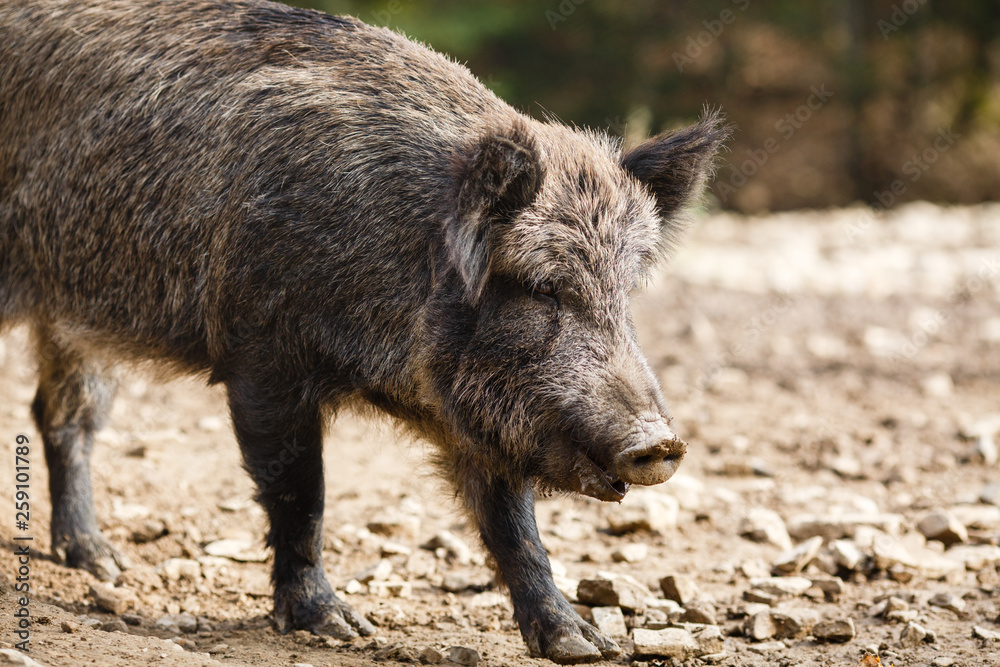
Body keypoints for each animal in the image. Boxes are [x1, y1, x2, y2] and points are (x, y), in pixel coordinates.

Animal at [0, 0, 726, 662]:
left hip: (75, 318)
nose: (661, 442)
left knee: (62, 415)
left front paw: (584, 644)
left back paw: (100, 561)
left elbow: (512, 523)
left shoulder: (481, 418)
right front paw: (341, 628)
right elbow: (302, 494)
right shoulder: (260, 356)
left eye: (623, 292)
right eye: (542, 286)